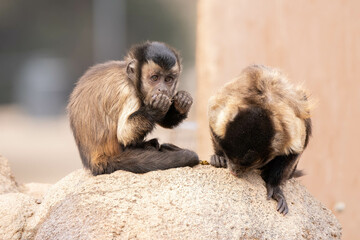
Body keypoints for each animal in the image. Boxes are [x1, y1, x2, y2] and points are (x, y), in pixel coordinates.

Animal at [67, 41, 200, 175]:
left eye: (168, 79)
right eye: (154, 78)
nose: (162, 89)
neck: (131, 79)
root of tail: (94, 162)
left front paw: (182, 102)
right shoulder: (127, 91)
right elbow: (124, 134)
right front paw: (155, 109)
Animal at [207, 64, 314, 215]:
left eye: (245, 164)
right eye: (231, 159)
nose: (234, 170)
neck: (261, 106)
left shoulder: (288, 128)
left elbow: (294, 150)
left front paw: (274, 186)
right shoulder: (222, 112)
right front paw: (220, 157)